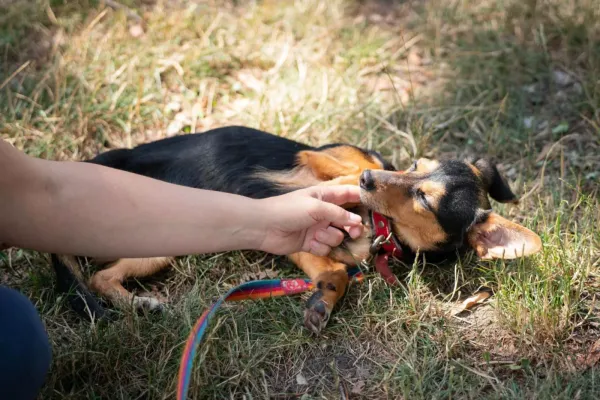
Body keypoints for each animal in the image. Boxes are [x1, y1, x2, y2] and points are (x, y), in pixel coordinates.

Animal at [52, 126, 544, 334]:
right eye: (414, 165)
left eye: (424, 197)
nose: (371, 183)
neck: (377, 227)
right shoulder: (324, 159)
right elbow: (344, 171)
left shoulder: (301, 245)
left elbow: (337, 273)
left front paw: (320, 304)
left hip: (159, 241)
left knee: (101, 276)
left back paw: (140, 304)